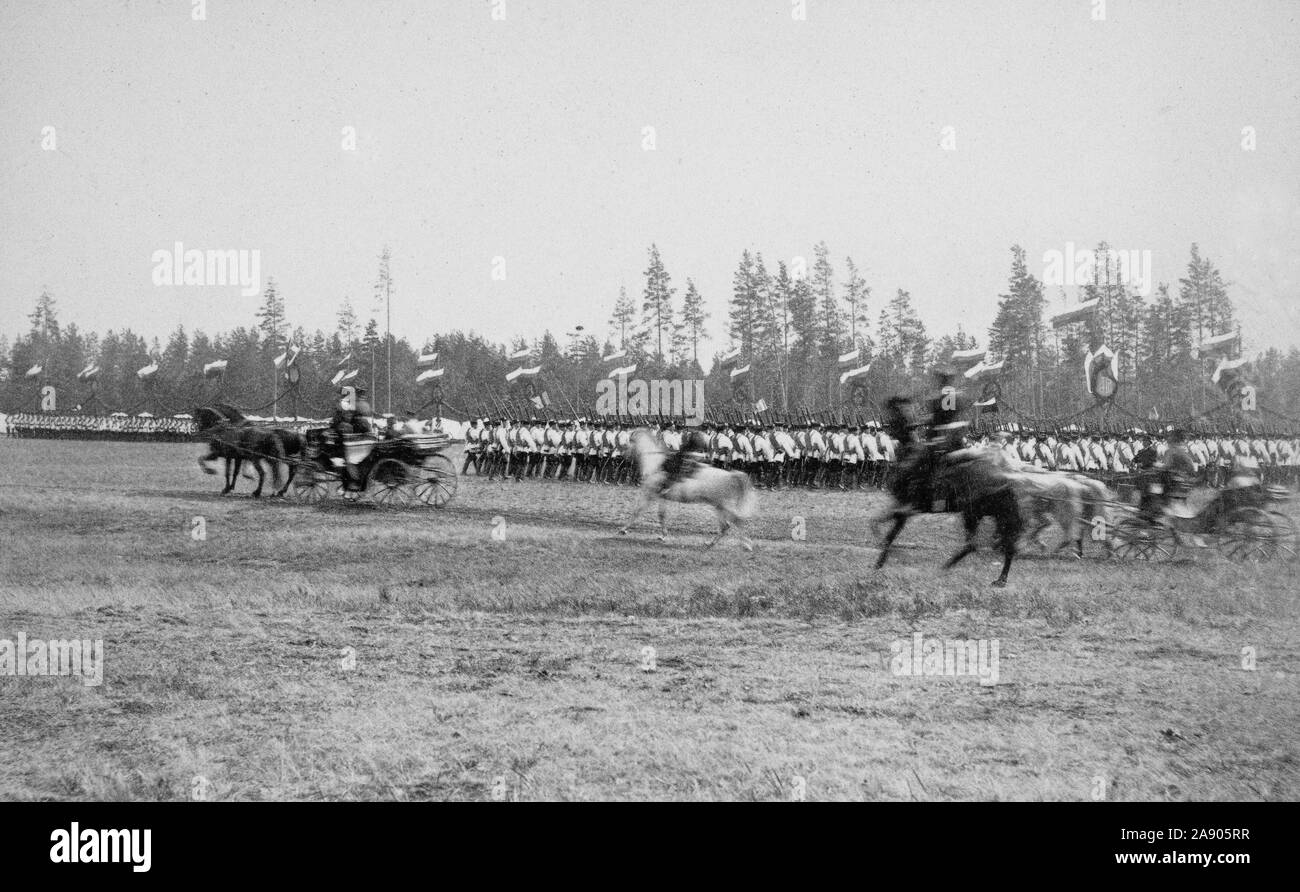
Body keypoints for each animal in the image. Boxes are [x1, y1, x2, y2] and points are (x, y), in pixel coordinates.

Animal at [616, 429, 754, 548]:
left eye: (628, 441)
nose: (624, 456)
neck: (656, 463)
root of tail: (730, 476)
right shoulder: (662, 497)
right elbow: (661, 515)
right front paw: (663, 535)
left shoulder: (649, 493)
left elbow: (637, 512)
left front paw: (623, 529)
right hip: (718, 506)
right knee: (726, 526)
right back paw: (710, 543)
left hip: (723, 505)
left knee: (736, 520)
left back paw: (746, 545)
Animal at [873, 397, 1024, 587]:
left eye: (893, 415)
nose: (882, 435)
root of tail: (1003, 476)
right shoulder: (902, 507)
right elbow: (882, 526)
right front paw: (880, 559)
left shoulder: (906, 508)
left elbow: (887, 532)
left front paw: (880, 559)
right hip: (992, 514)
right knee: (997, 544)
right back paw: (996, 577)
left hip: (973, 513)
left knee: (976, 545)